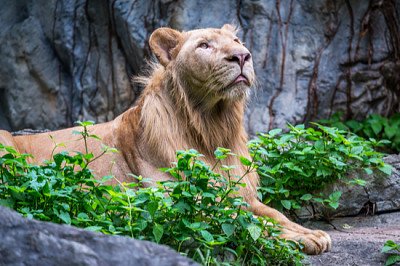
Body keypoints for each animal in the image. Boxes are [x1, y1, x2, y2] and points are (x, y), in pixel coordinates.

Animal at [0, 25, 332, 256]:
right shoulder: (182, 207)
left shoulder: (240, 194)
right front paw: (305, 238)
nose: (241, 57)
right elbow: (246, 223)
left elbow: (272, 214)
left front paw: (308, 232)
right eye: (204, 45)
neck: (211, 127)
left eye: (238, 43)